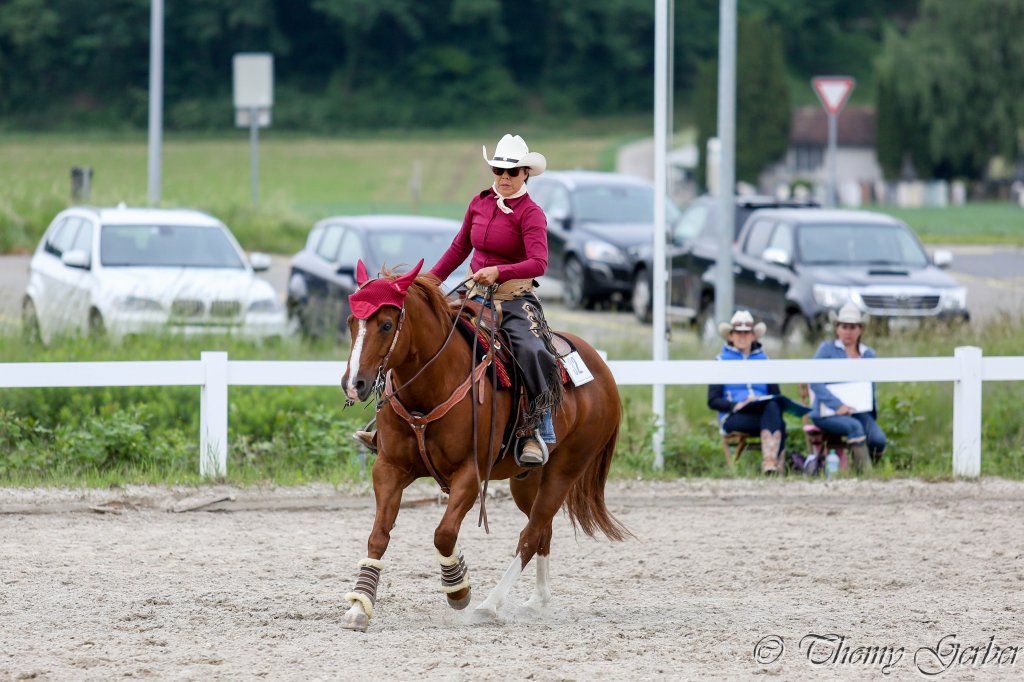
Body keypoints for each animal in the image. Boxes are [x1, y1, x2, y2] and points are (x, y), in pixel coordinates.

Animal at [339, 260, 627, 631]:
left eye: (387, 324)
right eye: (351, 321)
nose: (353, 384)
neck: (433, 384)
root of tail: (603, 370)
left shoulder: (470, 473)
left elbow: (444, 533)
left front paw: (458, 589)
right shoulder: (389, 468)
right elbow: (379, 535)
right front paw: (359, 606)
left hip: (565, 470)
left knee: (532, 533)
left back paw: (489, 605)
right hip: (527, 480)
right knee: (542, 530)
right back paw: (537, 601)